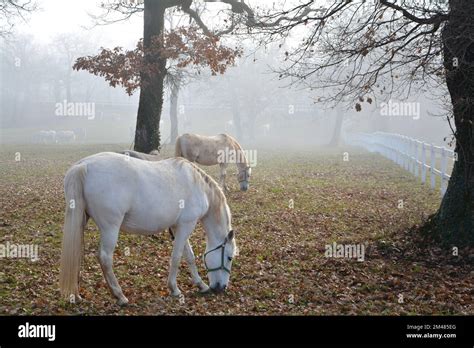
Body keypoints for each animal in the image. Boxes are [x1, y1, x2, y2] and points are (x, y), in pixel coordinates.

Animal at [59, 154, 237, 306]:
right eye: (229, 257)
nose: (221, 287)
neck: (199, 187)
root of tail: (84, 165)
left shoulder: (178, 227)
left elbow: (189, 256)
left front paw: (201, 285)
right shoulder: (187, 225)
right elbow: (177, 257)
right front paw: (174, 289)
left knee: (76, 252)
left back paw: (77, 295)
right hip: (110, 228)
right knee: (105, 258)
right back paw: (120, 296)